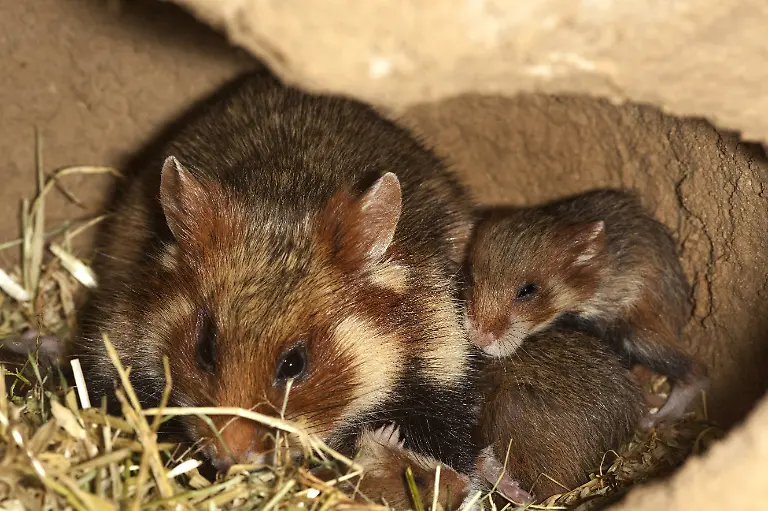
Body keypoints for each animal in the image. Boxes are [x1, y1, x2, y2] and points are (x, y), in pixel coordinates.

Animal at [464, 189, 708, 427]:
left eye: (527, 290)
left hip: (641, 335)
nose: (478, 340)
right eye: (471, 278)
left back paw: (655, 420)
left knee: (695, 371)